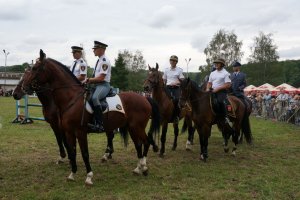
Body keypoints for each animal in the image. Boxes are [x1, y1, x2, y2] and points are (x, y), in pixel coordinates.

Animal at [22, 49, 161, 184]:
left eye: (35, 68)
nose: (23, 87)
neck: (71, 99)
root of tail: (145, 98)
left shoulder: (80, 132)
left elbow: (85, 153)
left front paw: (89, 176)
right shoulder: (69, 132)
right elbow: (72, 152)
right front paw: (72, 174)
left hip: (137, 127)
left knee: (146, 141)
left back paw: (144, 167)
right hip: (131, 128)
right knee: (138, 144)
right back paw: (138, 168)